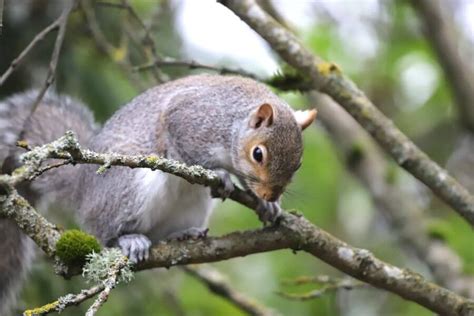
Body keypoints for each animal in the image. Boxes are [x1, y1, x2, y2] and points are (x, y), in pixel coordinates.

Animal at [0, 74, 318, 314]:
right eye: (258, 154)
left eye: (299, 163)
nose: (270, 193)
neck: (233, 122)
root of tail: (82, 191)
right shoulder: (190, 119)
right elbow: (191, 152)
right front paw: (222, 175)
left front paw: (269, 207)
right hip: (128, 187)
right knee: (104, 232)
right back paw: (128, 239)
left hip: (191, 206)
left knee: (162, 234)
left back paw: (182, 235)